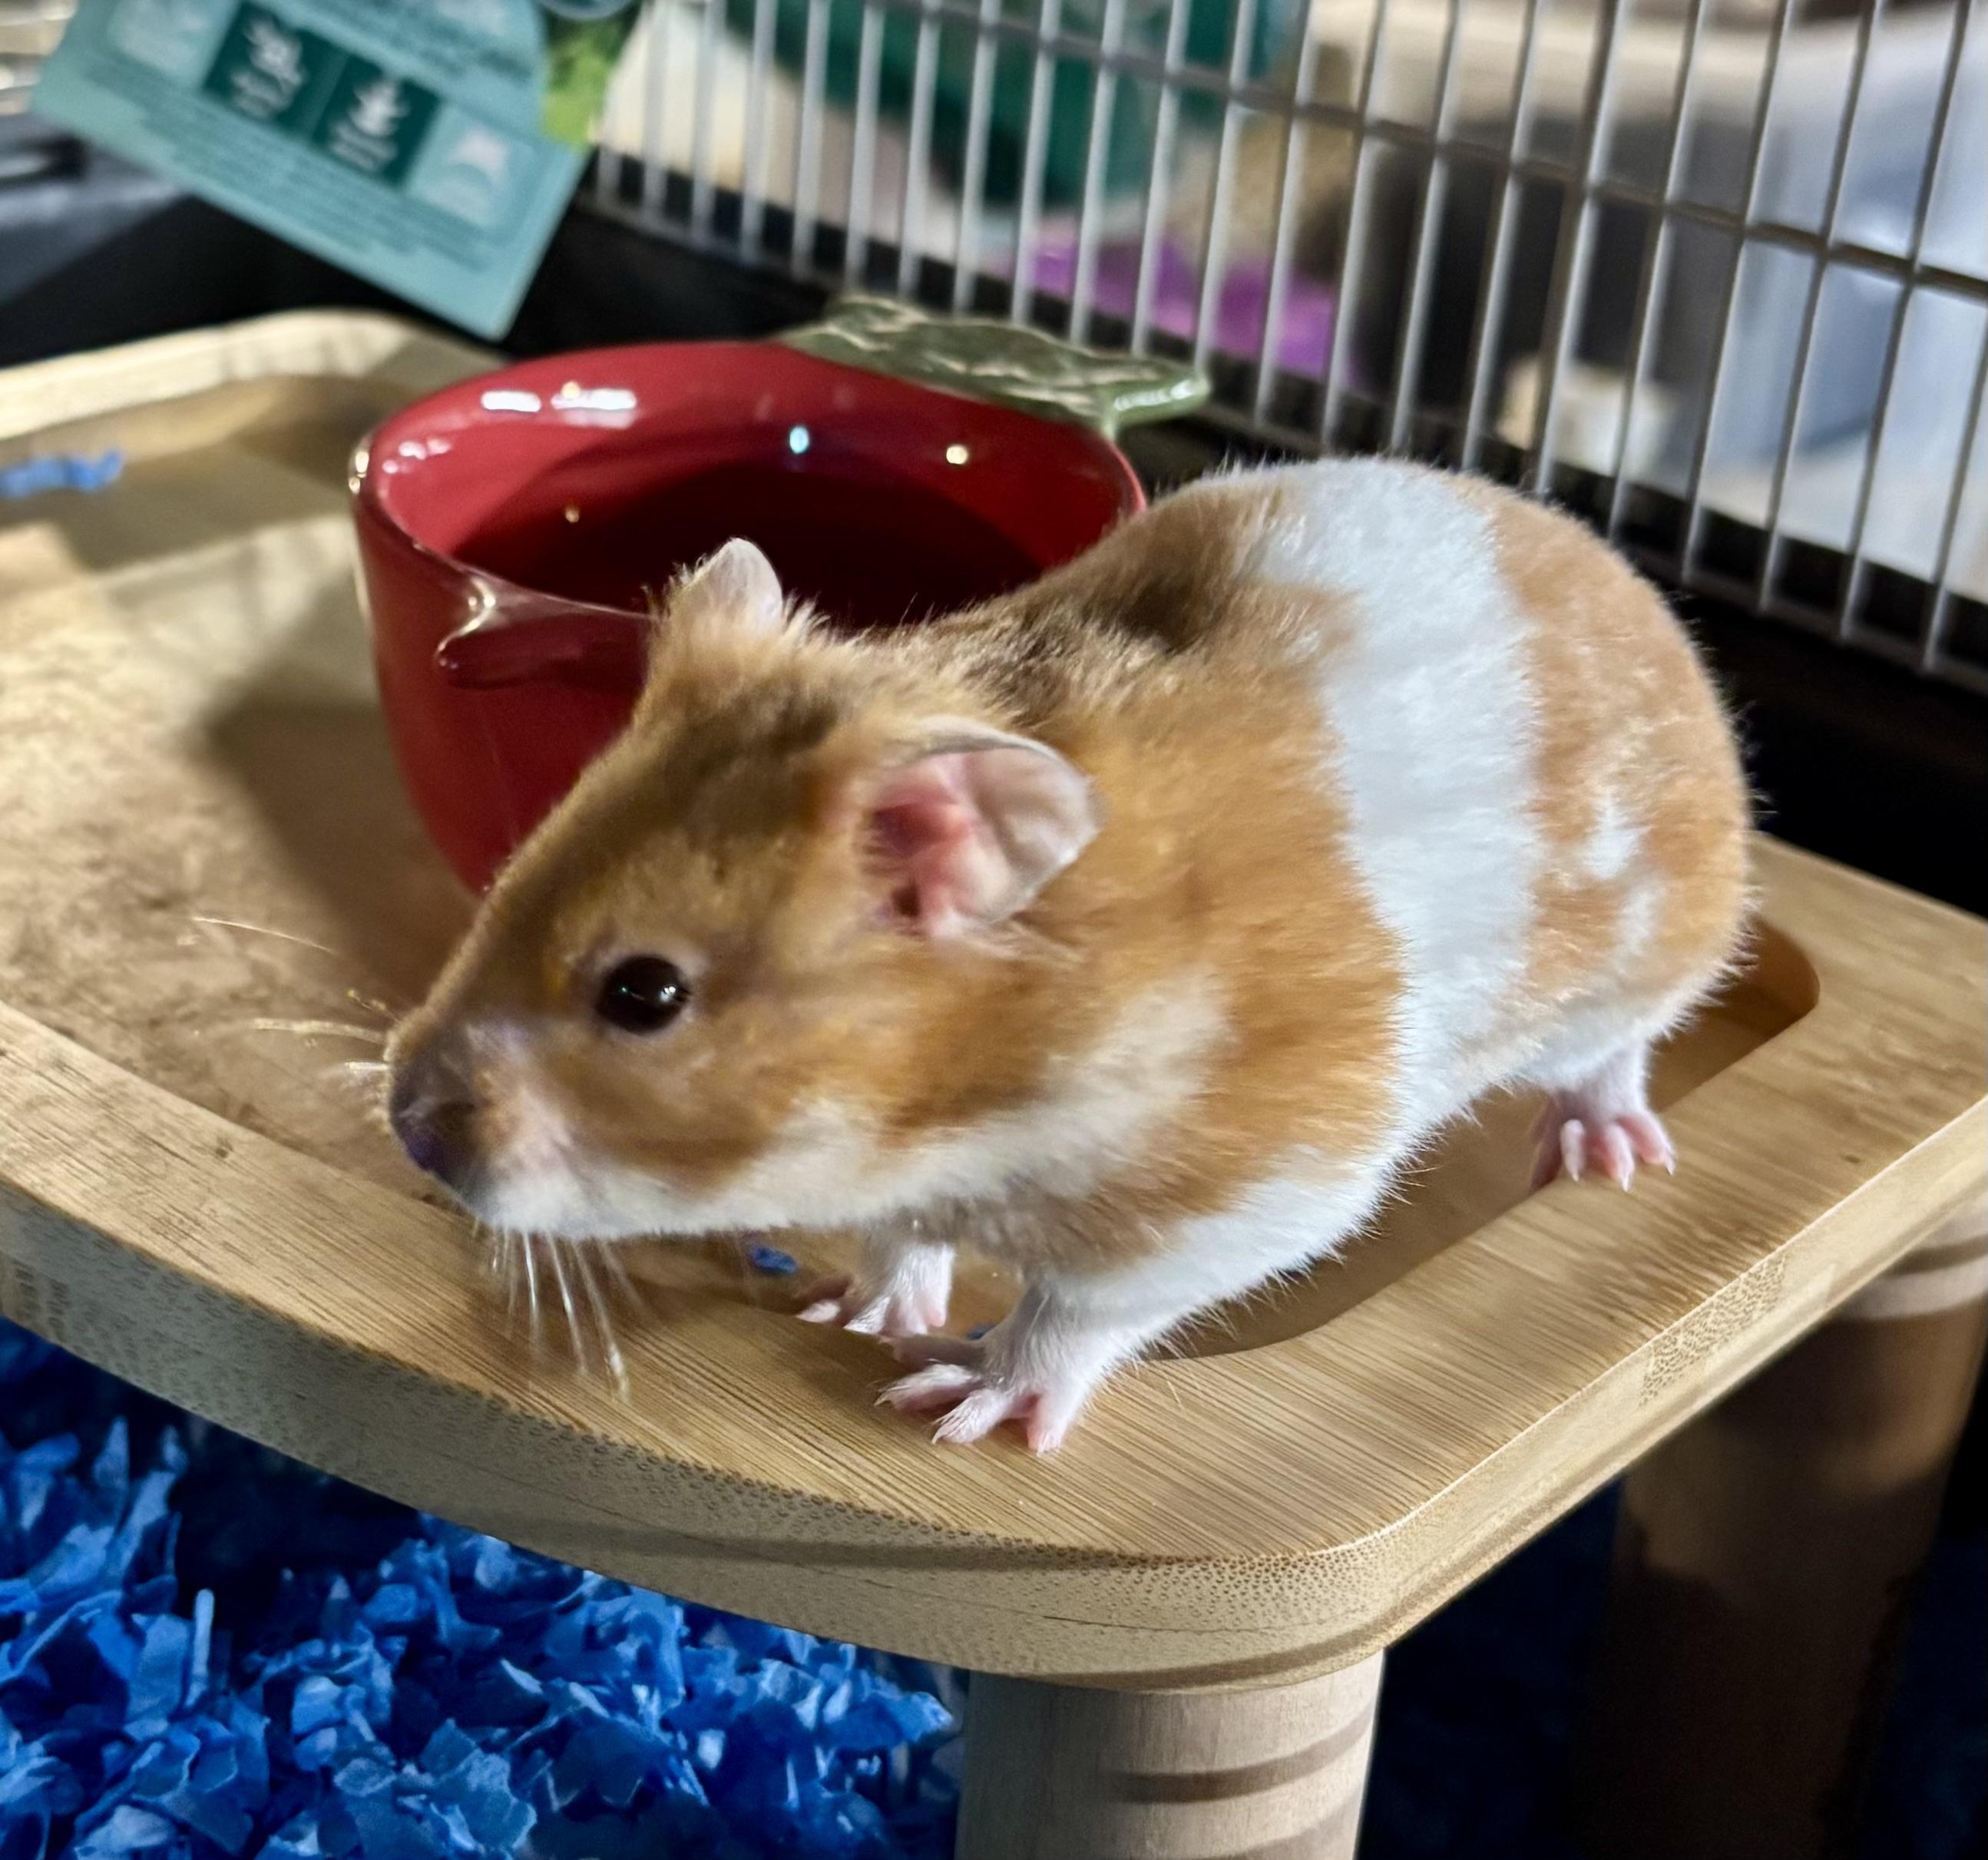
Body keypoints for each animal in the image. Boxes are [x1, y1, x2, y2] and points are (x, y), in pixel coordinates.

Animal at [387, 459, 1749, 1452]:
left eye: (646, 993)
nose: (406, 1125)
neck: (961, 1105)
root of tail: (1617, 574)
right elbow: (901, 1239)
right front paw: (865, 1312)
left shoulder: (1255, 1183)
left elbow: (1077, 1311)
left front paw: (962, 1401)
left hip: (1633, 972)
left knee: (1617, 1058)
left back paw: (1608, 1153)